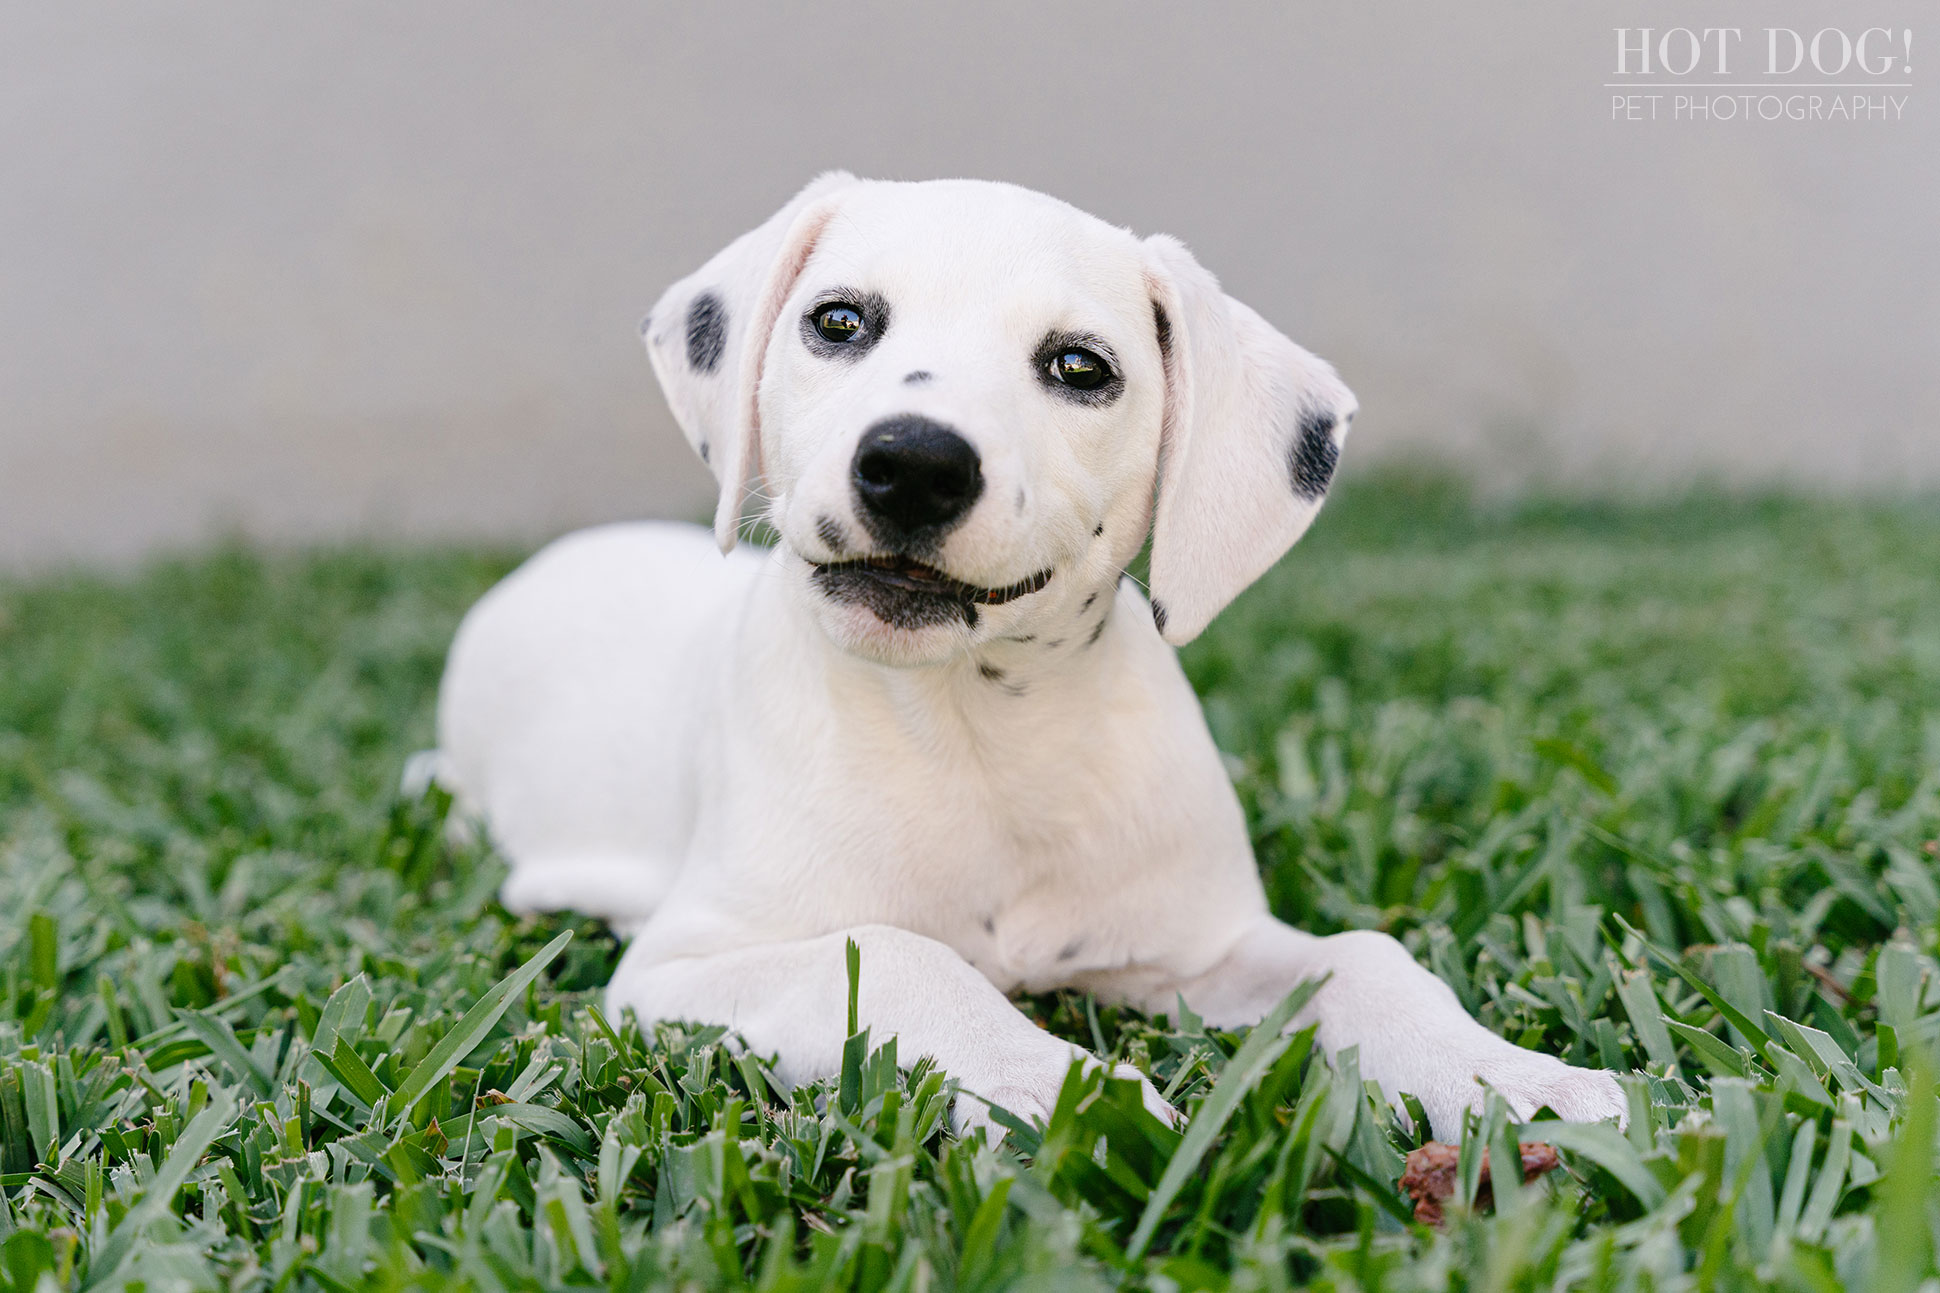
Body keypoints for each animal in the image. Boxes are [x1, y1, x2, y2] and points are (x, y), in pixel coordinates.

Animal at [432, 173, 1629, 1141]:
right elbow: (902, 955)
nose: (914, 464)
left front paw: (1508, 1077)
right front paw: (1062, 1089)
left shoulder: (1200, 949)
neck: (980, 732)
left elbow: (1365, 960)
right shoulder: (687, 965)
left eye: (1078, 366)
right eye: (837, 320)